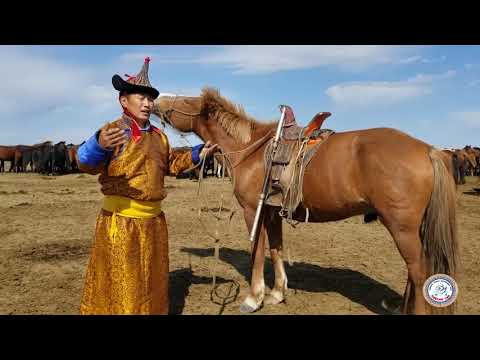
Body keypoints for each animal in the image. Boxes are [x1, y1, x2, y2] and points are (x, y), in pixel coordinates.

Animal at [153, 88, 458, 314]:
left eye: (186, 100)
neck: (250, 148)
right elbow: (276, 249)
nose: (156, 100)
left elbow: (257, 252)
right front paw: (277, 293)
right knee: (414, 271)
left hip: (401, 227)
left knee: (418, 272)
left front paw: (254, 298)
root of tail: (428, 150)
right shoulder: (272, 212)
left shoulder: (253, 211)